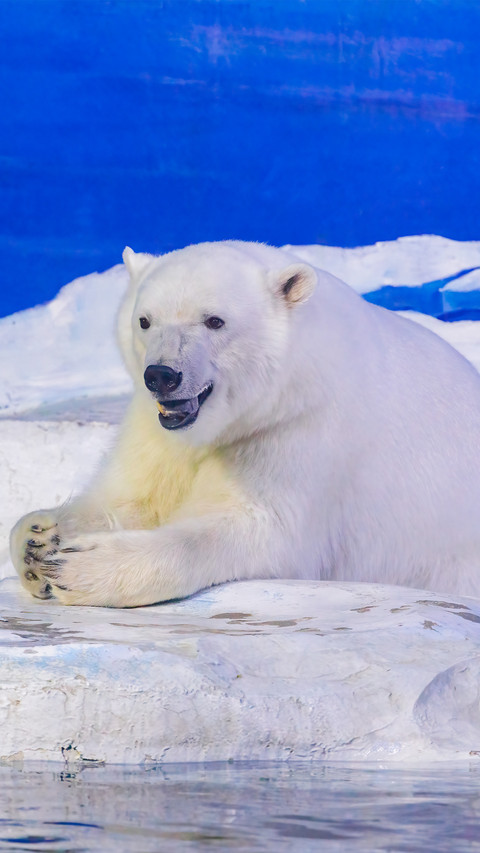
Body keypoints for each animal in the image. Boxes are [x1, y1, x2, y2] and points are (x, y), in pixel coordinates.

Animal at [10, 240, 480, 607]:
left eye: (215, 320)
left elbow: (261, 531)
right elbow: (134, 496)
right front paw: (38, 539)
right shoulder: (158, 433)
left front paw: (80, 566)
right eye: (144, 320)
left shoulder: (299, 434)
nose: (161, 375)